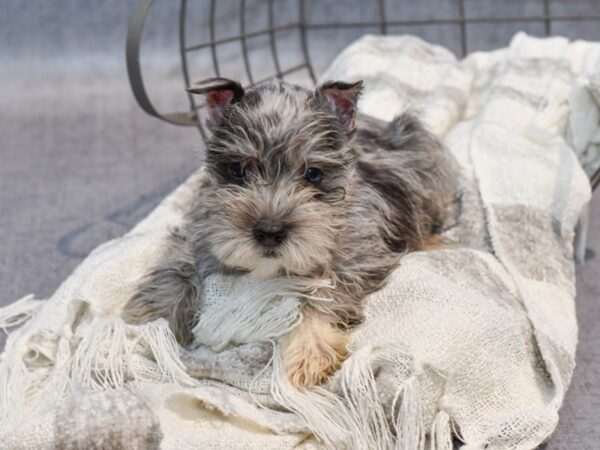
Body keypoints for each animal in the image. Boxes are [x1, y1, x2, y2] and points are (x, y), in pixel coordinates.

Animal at [123, 76, 460, 386]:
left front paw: (310, 350)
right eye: (237, 170)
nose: (269, 231)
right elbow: (178, 268)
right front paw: (149, 317)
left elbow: (321, 295)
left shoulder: (355, 257)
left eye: (313, 174)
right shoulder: (200, 233)